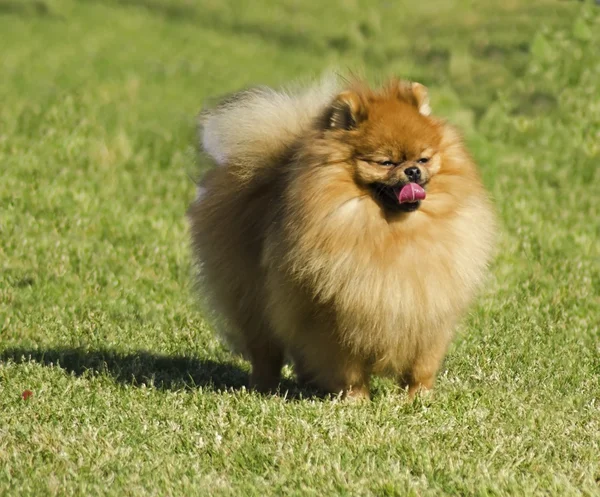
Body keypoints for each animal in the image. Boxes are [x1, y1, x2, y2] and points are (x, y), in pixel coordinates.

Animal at [189, 74, 496, 400]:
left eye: (424, 159)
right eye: (386, 162)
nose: (412, 170)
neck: (394, 231)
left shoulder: (429, 309)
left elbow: (422, 365)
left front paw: (418, 398)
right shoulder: (337, 315)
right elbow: (348, 365)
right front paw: (356, 399)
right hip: (253, 299)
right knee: (266, 350)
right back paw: (264, 386)